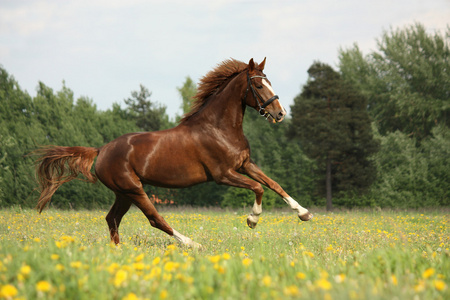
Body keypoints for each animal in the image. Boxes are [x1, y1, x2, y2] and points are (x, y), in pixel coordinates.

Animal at [33, 57, 312, 247]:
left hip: (123, 193)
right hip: (134, 190)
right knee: (155, 219)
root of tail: (101, 150)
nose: (280, 113)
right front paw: (252, 220)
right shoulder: (223, 175)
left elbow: (274, 184)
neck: (218, 128)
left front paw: (304, 213)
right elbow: (258, 188)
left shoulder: (245, 164)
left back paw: (118, 252)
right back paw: (193, 244)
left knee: (112, 219)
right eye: (259, 86)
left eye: (269, 81)